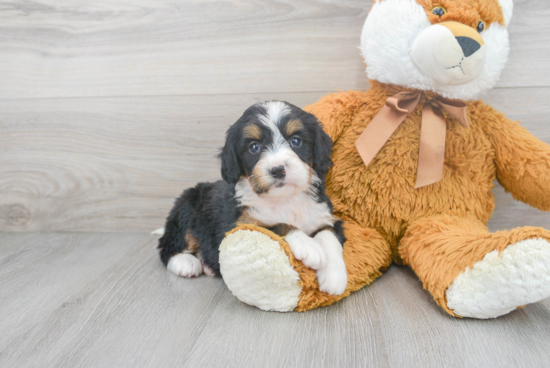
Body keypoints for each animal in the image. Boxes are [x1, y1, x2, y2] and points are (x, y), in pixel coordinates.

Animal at [160, 100, 350, 296]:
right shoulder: (241, 225)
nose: (277, 170)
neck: (285, 199)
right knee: (168, 245)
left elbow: (328, 235)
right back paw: (186, 263)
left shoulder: (323, 214)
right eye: (254, 147)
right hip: (186, 208)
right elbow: (276, 225)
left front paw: (334, 276)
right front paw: (309, 247)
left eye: (296, 141)